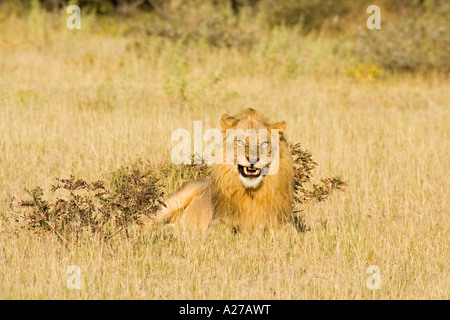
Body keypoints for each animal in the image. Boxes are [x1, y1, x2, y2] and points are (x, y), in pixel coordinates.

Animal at [154, 107, 296, 232]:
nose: (253, 159)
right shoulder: (217, 222)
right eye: (240, 142)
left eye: (264, 143)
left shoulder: (283, 221)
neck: (252, 193)